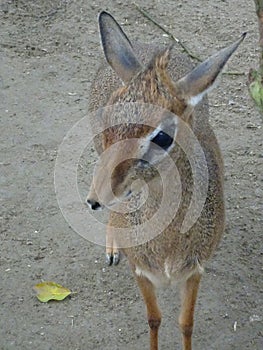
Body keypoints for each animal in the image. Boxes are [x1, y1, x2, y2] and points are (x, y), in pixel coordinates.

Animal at [87, 10, 246, 350]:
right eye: (110, 119)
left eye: (162, 136)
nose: (94, 199)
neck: (167, 252)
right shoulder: (141, 272)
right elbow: (154, 318)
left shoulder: (195, 272)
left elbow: (186, 324)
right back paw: (112, 246)